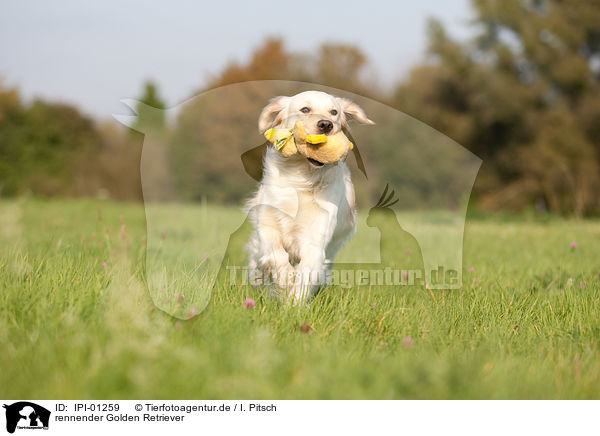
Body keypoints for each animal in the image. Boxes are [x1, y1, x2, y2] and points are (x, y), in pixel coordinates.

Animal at [246, 90, 372, 304]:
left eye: (334, 112)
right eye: (305, 109)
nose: (326, 125)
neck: (301, 177)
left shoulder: (316, 239)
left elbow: (306, 272)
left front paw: (294, 303)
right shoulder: (267, 225)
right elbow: (275, 256)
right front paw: (284, 280)